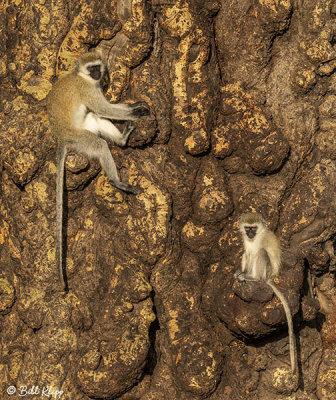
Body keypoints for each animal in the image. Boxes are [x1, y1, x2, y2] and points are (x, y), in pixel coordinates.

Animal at [46, 53, 150, 290]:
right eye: (91, 68)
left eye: (97, 67)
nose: (97, 74)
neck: (81, 77)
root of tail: (62, 136)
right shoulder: (88, 89)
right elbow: (105, 108)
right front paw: (136, 109)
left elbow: (101, 112)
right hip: (80, 139)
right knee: (100, 144)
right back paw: (115, 181)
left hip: (86, 127)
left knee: (96, 118)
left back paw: (121, 140)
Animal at [236, 212, 296, 376]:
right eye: (247, 228)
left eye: (254, 228)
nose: (250, 234)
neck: (254, 238)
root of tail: (271, 277)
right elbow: (248, 253)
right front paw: (240, 273)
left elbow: (257, 252)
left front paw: (246, 276)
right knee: (247, 253)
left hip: (266, 271)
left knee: (261, 253)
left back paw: (254, 277)